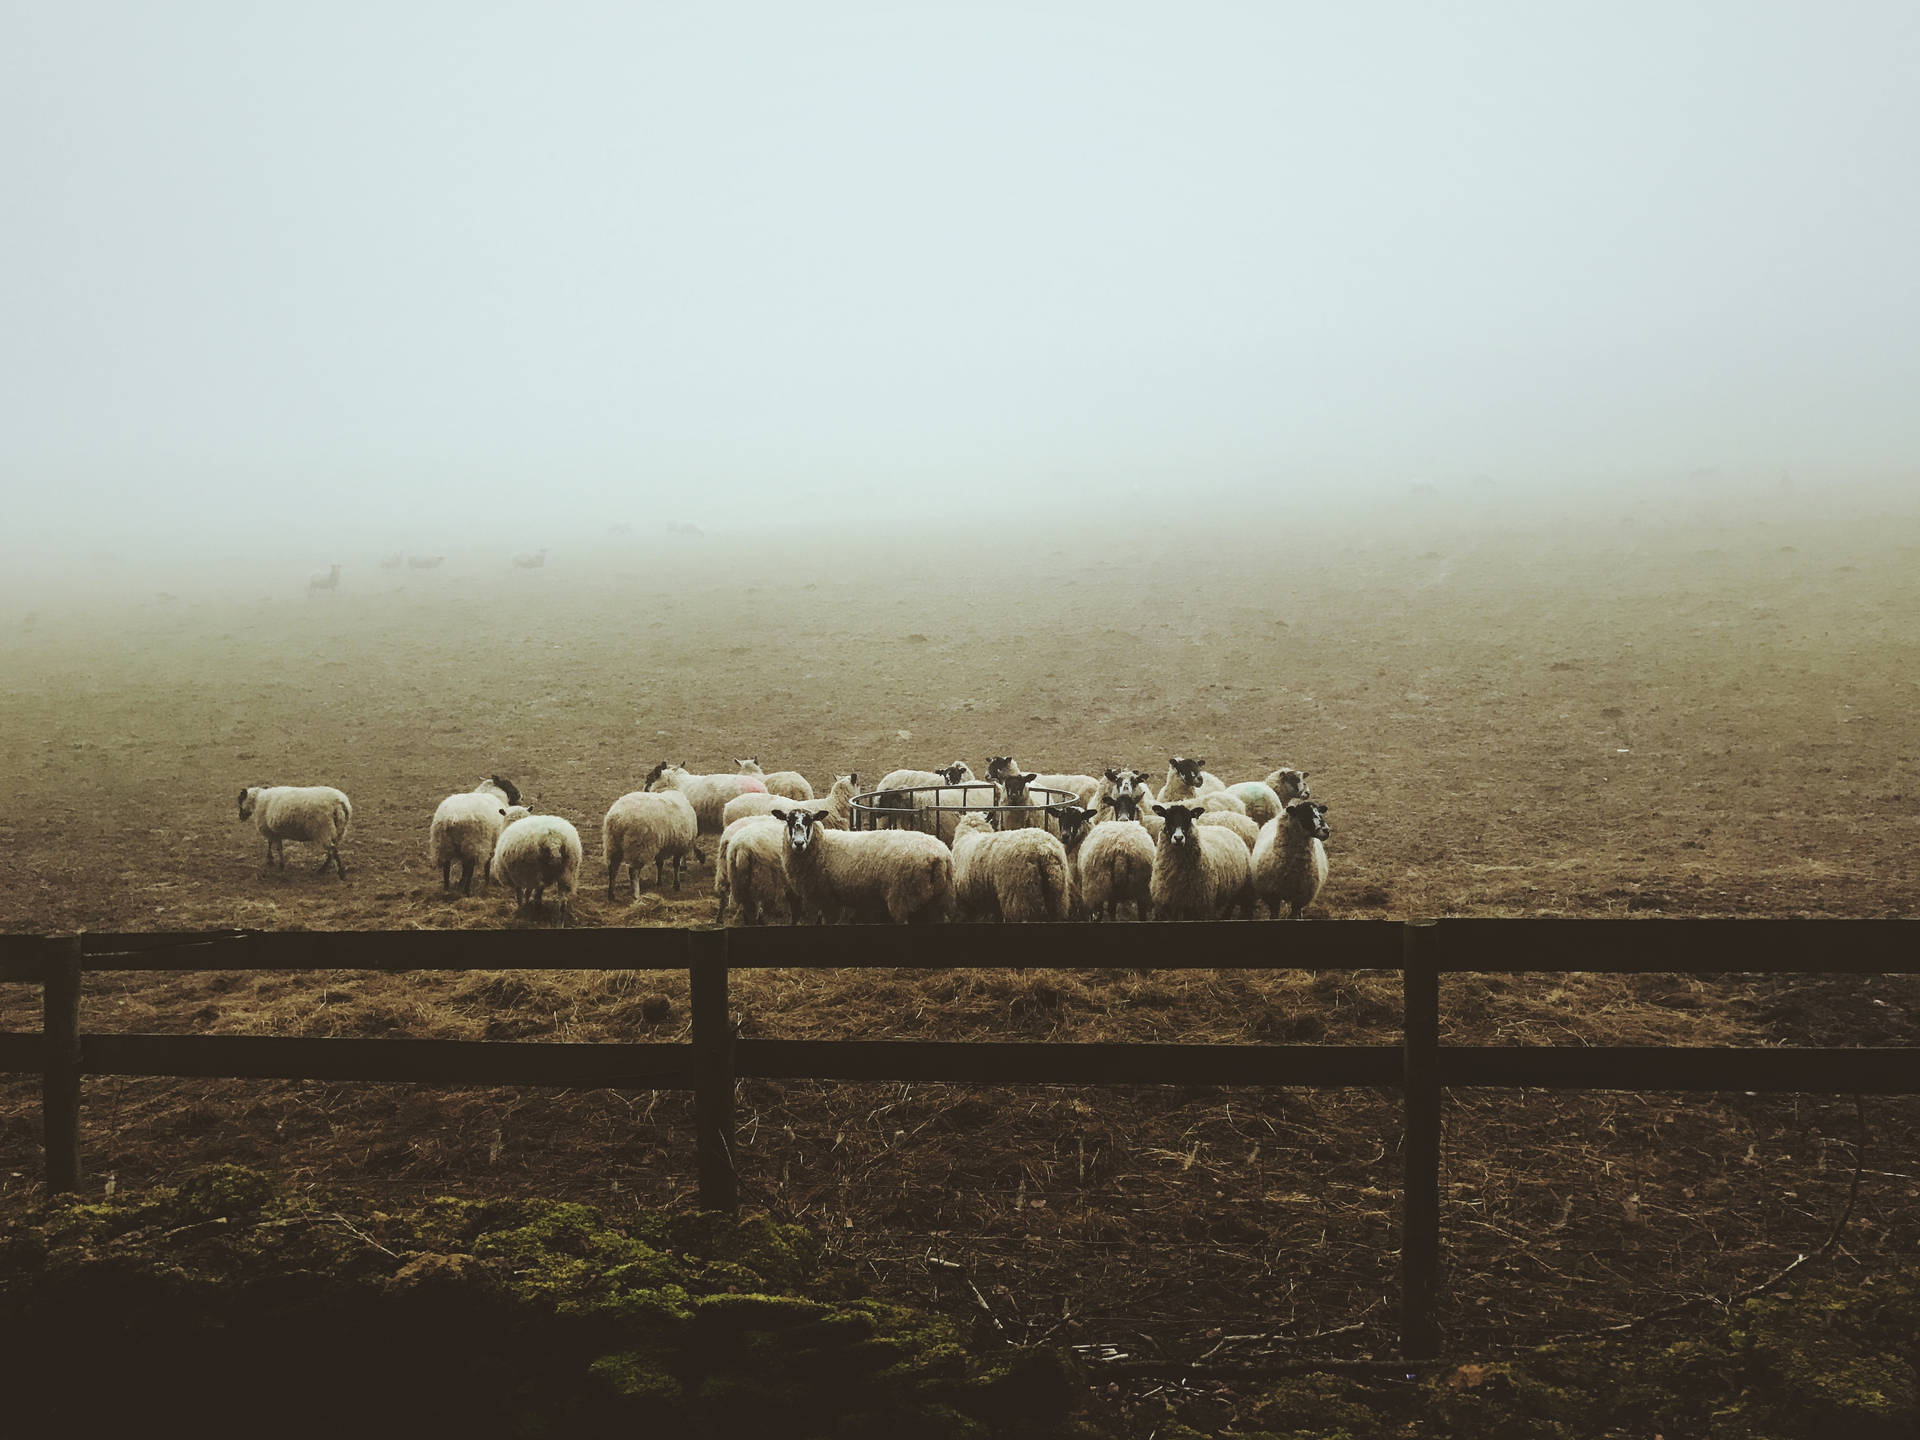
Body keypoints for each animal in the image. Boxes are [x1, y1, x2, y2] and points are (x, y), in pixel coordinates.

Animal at [771, 806, 952, 929]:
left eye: (810, 820)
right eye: (788, 821)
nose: (798, 843)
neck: (822, 846)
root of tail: (939, 856)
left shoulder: (828, 898)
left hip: (902, 897)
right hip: (938, 900)